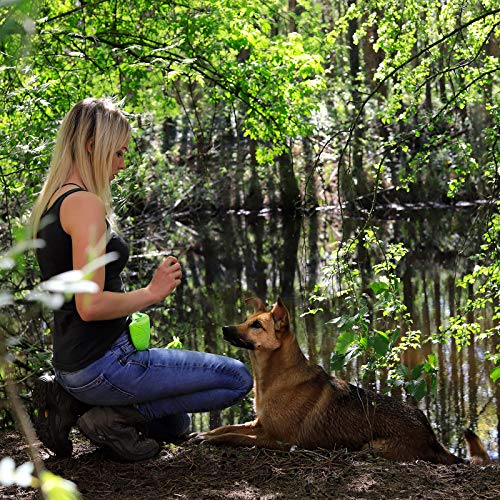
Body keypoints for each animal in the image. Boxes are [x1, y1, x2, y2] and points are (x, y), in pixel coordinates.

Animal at [196, 296, 492, 464]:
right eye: (247, 319)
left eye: (257, 325)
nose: (224, 329)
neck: (275, 377)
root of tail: (430, 434)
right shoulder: (260, 424)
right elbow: (228, 427)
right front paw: (205, 433)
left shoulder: (278, 440)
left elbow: (235, 436)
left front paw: (211, 439)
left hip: (371, 447)